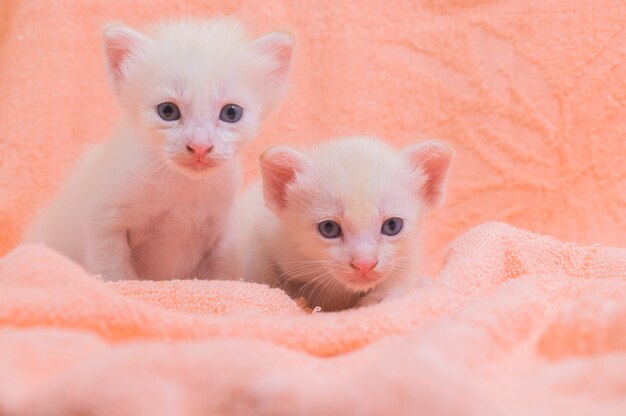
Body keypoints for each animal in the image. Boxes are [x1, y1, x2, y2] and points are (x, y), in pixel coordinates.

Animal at [25, 17, 294, 282]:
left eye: (231, 113)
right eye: (167, 111)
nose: (200, 146)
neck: (182, 188)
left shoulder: (223, 233)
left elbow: (220, 276)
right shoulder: (104, 223)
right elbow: (115, 274)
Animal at [236, 138, 450, 310]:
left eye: (392, 226)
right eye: (329, 228)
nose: (364, 264)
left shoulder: (410, 252)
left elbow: (405, 274)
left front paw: (381, 297)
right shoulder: (263, 237)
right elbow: (262, 273)